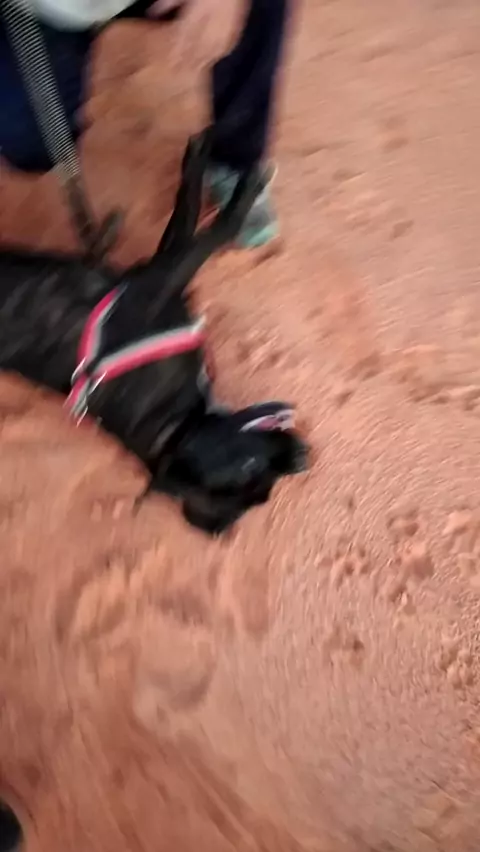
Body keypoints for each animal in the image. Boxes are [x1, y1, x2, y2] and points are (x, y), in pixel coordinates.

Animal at [0, 131, 309, 534]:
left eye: (264, 494)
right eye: (250, 467)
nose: (305, 458)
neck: (175, 426)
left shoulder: (158, 276)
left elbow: (186, 222)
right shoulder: (154, 284)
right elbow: (207, 232)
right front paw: (237, 185)